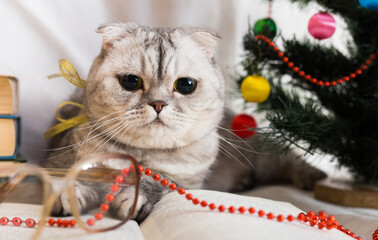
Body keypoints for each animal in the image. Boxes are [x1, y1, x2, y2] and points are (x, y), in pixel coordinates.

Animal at [43, 22, 324, 223]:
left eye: (186, 85)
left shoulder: (186, 181)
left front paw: (134, 197)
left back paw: (312, 178)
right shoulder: (59, 162)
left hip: (264, 153)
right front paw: (69, 197)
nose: (158, 104)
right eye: (131, 82)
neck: (142, 155)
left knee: (289, 158)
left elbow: (156, 181)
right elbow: (65, 180)